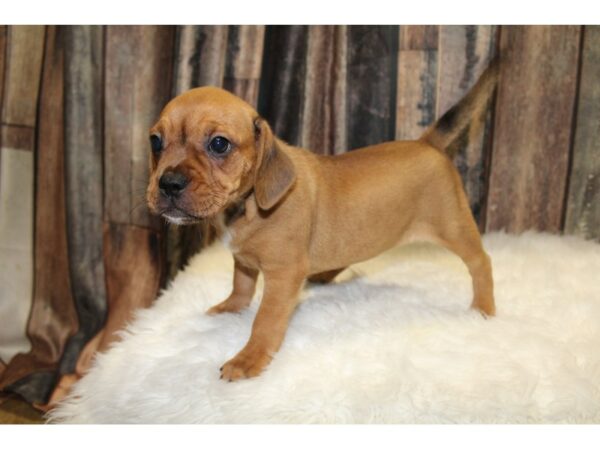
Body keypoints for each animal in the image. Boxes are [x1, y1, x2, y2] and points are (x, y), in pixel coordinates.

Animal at [148, 59, 500, 382]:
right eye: (155, 141)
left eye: (219, 144)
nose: (169, 184)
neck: (246, 204)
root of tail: (427, 142)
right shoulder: (244, 259)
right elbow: (241, 283)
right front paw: (231, 307)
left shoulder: (283, 276)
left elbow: (264, 320)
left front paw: (249, 359)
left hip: (455, 226)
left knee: (481, 262)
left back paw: (484, 308)